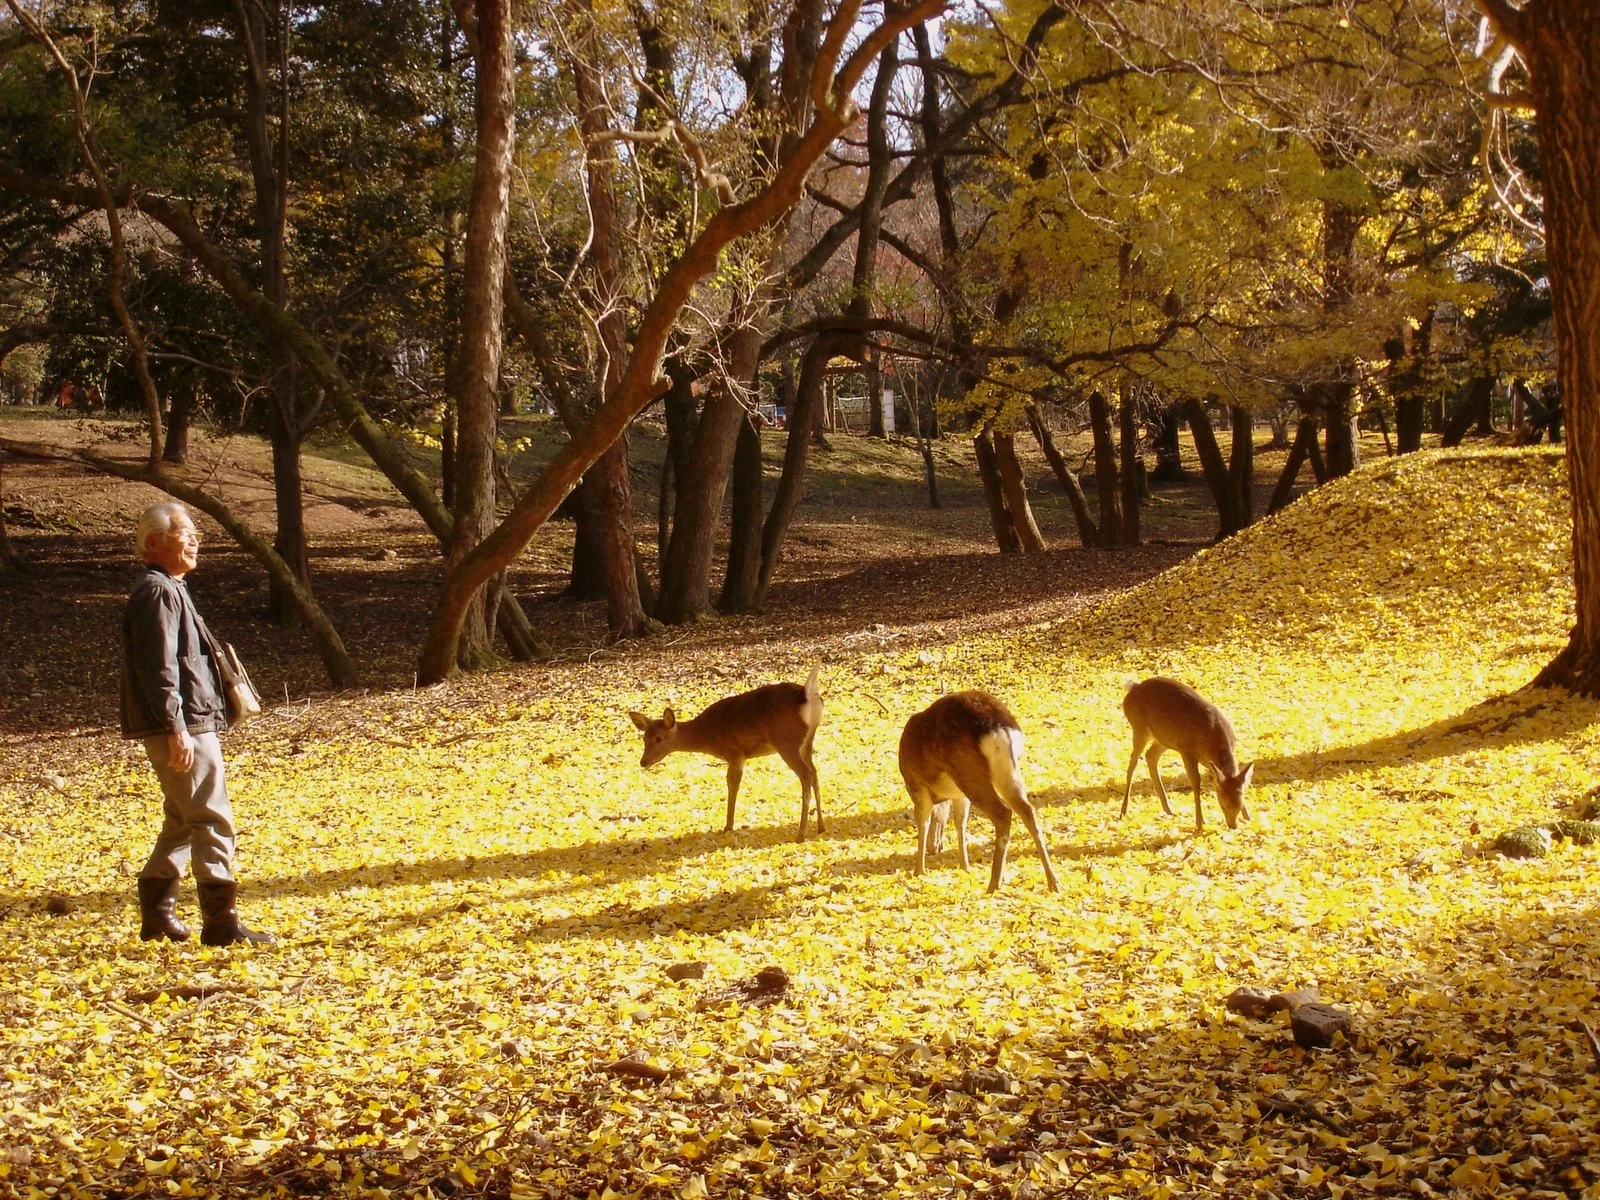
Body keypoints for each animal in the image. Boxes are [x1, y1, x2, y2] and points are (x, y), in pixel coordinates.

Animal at [629, 666, 823, 840]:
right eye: (644, 738)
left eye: (659, 739)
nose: (643, 762)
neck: (709, 736)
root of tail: (806, 694)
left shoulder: (735, 753)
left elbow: (732, 784)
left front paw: (728, 826)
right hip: (807, 741)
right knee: (814, 773)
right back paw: (821, 827)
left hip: (786, 742)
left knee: (805, 774)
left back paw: (801, 834)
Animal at [898, 690, 1060, 893]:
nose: (934, 848)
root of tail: (1000, 729)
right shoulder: (959, 796)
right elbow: (960, 822)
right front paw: (965, 866)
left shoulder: (917, 785)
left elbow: (923, 822)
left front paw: (919, 871)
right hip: (1008, 772)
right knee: (1028, 811)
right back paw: (1053, 882)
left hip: (969, 773)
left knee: (1003, 812)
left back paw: (994, 883)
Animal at [1119, 677, 1253, 831]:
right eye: (1223, 805)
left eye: (1240, 804)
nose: (1233, 826)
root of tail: (1133, 687)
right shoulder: (1187, 750)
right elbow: (1195, 783)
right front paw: (1200, 823)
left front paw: (1248, 817)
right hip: (1139, 728)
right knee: (1132, 763)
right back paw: (1123, 811)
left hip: (1163, 740)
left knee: (1150, 756)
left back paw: (1168, 809)